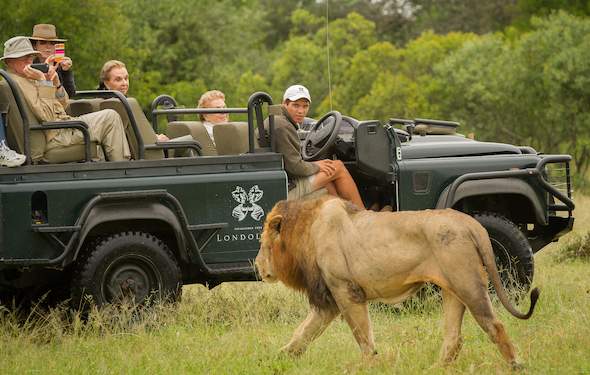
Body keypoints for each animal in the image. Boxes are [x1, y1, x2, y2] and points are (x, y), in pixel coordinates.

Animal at [256, 198, 540, 368]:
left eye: (263, 243)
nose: (257, 267)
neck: (308, 230)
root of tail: (471, 223)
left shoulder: (346, 291)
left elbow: (362, 336)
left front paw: (369, 365)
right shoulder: (329, 300)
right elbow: (303, 333)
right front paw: (277, 359)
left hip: (468, 284)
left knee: (495, 326)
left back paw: (516, 365)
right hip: (453, 290)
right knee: (453, 337)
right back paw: (435, 369)